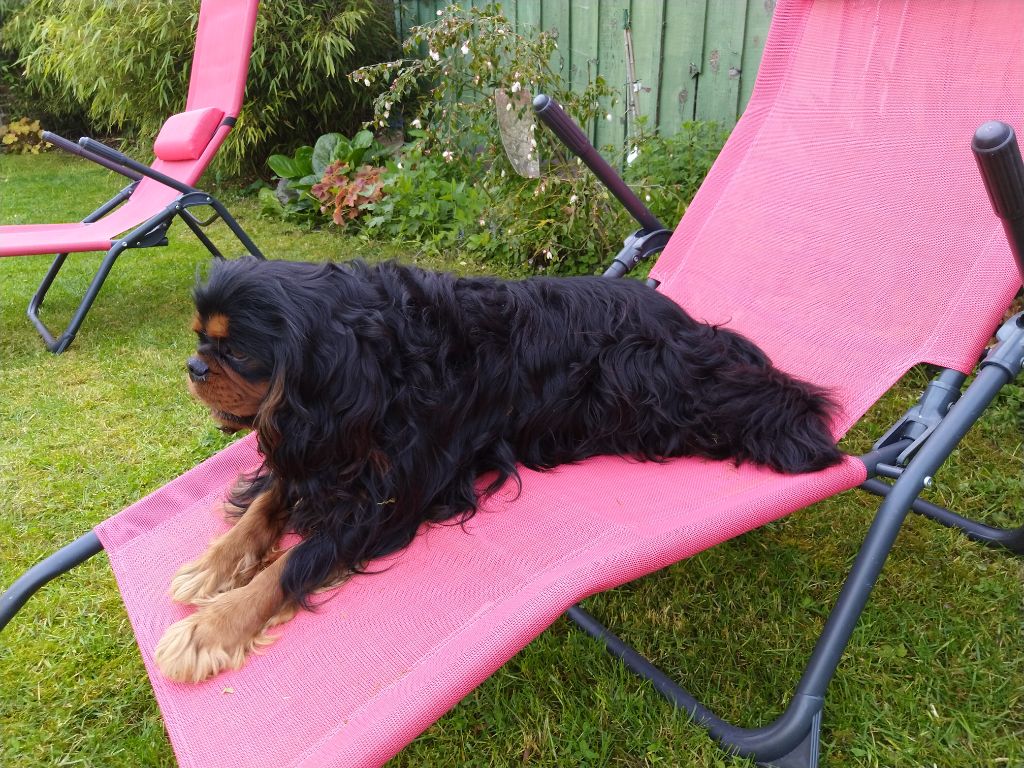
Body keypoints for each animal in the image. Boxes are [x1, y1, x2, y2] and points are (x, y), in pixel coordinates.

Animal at [151, 260, 839, 684]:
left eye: (237, 350)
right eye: (201, 339)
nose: (194, 365)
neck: (370, 360)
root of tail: (680, 316)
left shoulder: (391, 502)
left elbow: (293, 564)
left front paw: (209, 629)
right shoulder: (320, 452)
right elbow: (268, 504)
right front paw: (212, 565)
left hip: (660, 385)